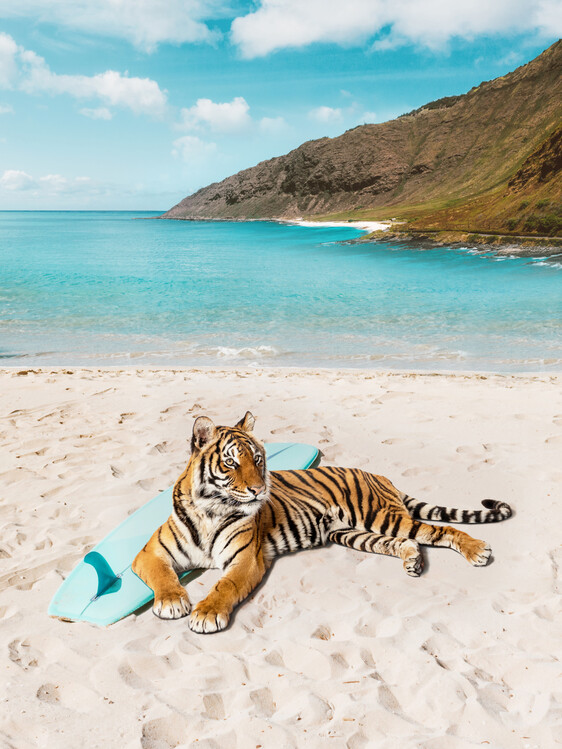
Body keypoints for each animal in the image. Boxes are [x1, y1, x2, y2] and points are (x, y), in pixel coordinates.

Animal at [132, 412, 512, 634]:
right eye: (231, 463)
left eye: (258, 459)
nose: (259, 489)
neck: (212, 509)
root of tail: (380, 476)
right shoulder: (149, 554)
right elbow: (163, 576)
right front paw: (172, 601)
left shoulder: (245, 560)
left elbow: (224, 586)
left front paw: (207, 613)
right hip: (353, 534)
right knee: (407, 542)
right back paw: (413, 562)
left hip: (380, 516)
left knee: (440, 530)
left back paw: (477, 551)